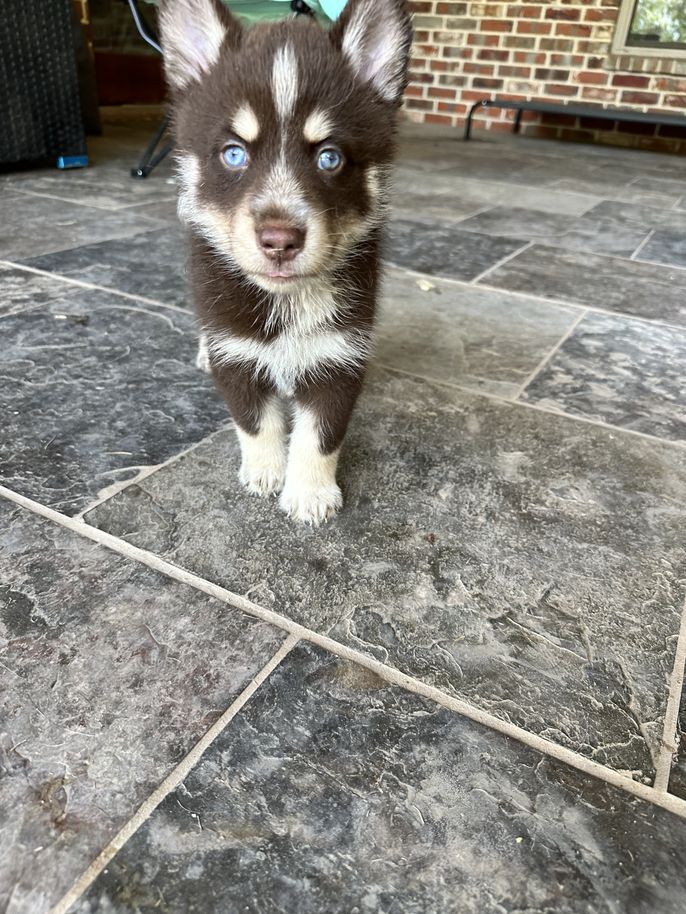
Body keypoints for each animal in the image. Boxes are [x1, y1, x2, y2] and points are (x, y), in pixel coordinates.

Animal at [158, 0, 412, 524]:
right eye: (233, 154)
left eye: (330, 158)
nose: (279, 240)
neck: (287, 300)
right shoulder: (235, 351)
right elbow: (255, 422)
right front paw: (265, 473)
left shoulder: (340, 355)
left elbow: (320, 434)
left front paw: (310, 494)